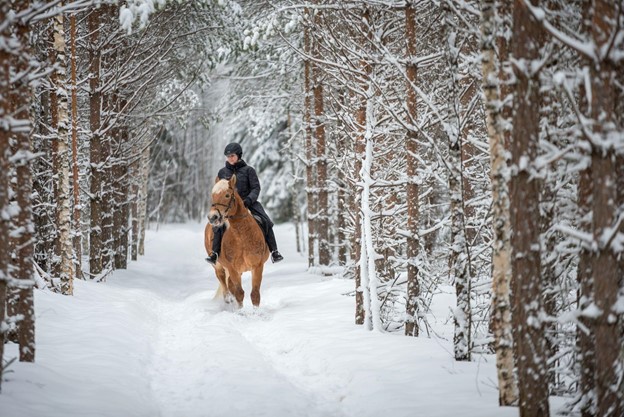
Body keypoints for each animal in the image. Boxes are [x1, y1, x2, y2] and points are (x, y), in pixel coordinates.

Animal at [204, 174, 270, 308]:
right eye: (213, 195)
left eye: (227, 195)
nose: (212, 217)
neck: (242, 237)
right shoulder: (232, 268)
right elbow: (239, 293)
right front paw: (240, 311)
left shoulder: (257, 266)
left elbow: (255, 294)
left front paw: (256, 312)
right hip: (218, 266)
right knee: (223, 280)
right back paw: (227, 298)